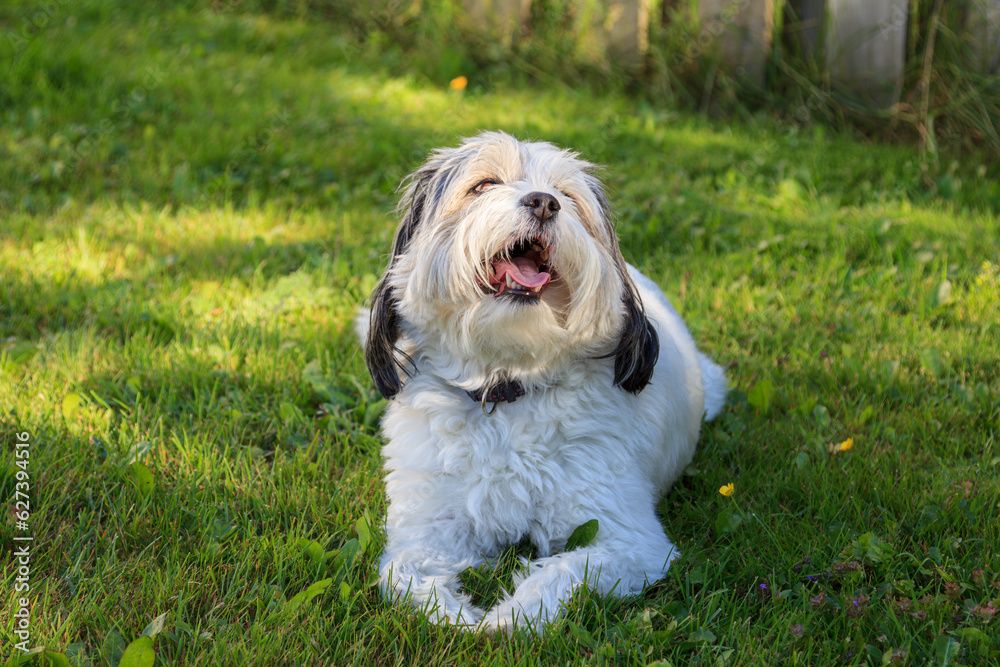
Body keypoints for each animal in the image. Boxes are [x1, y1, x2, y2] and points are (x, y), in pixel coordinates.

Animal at [360, 132, 728, 636]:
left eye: (566, 195)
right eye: (483, 185)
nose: (544, 202)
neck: (506, 389)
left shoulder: (628, 541)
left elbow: (563, 571)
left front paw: (506, 619)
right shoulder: (425, 528)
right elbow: (406, 576)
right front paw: (456, 617)